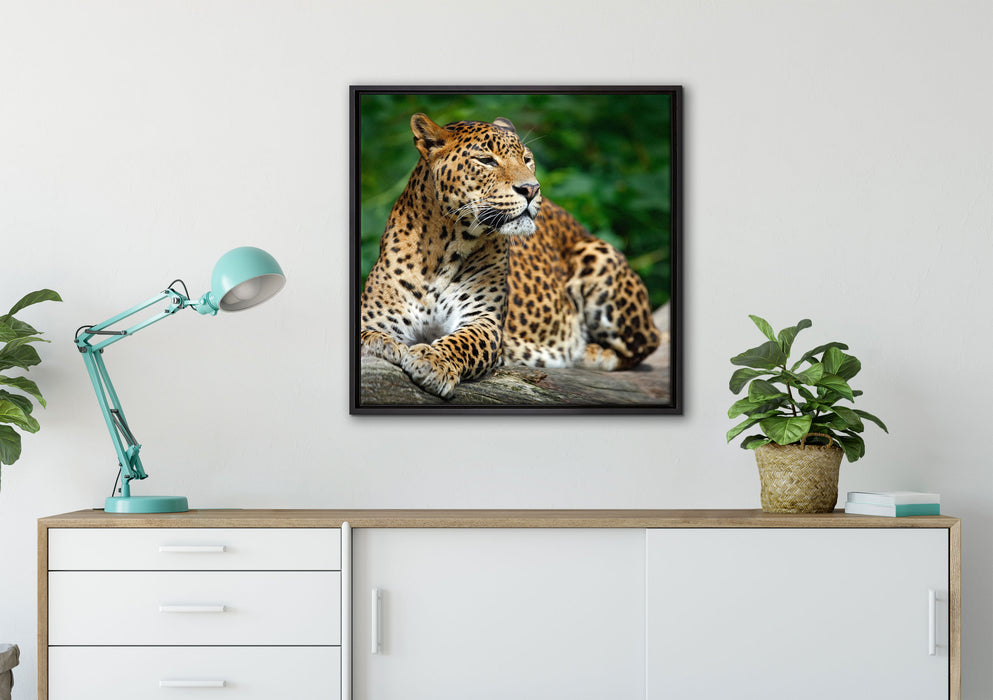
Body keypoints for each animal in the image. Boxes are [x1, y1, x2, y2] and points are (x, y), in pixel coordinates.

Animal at [359, 113, 661, 399]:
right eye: (486, 160)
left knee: (648, 342)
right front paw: (382, 343)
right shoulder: (374, 316)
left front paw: (433, 361)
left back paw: (588, 352)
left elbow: (462, 343)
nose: (532, 189)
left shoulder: (484, 320)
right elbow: (367, 333)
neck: (444, 249)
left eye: (527, 159)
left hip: (598, 255)